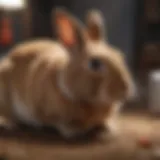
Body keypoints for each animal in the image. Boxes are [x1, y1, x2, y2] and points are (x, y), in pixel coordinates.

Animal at [0, 7, 134, 139]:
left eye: (119, 55)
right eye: (95, 63)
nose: (125, 88)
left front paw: (106, 127)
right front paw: (74, 131)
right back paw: (8, 123)